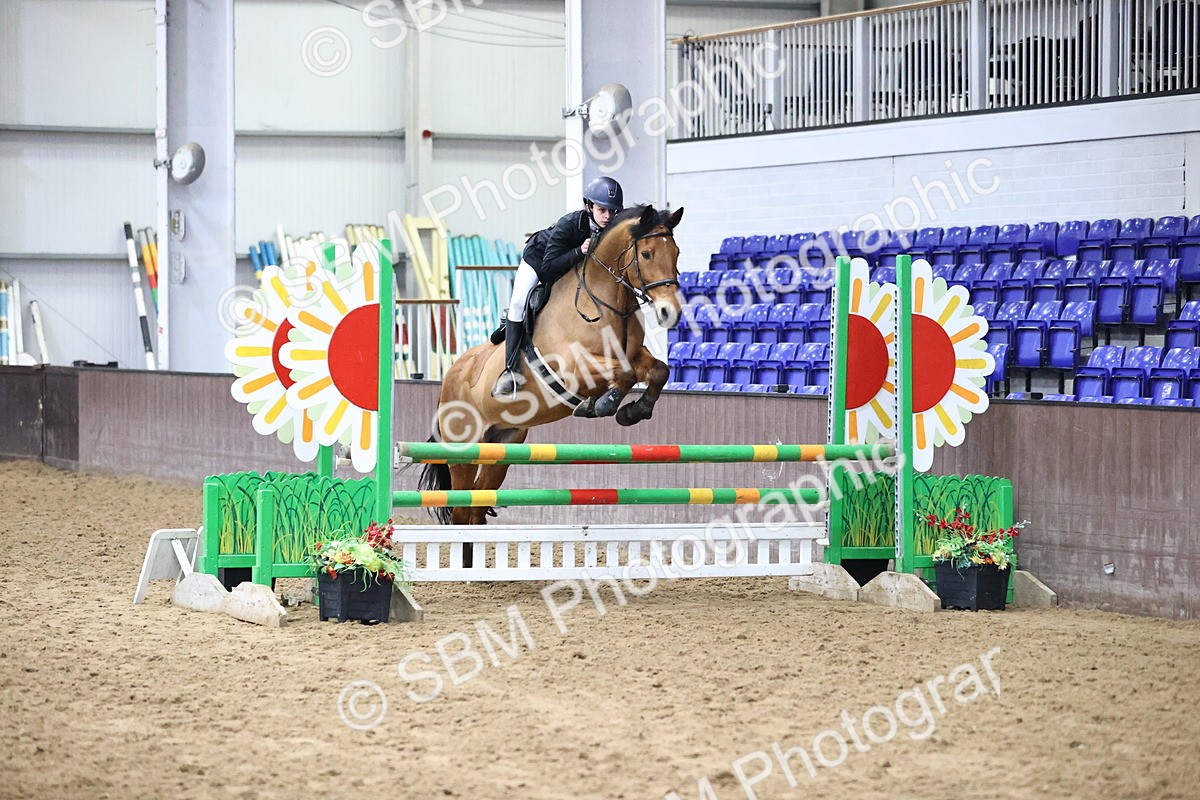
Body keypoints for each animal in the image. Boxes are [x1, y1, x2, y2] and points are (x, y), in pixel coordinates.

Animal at [419, 204, 685, 525]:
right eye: (646, 254)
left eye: (676, 252)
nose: (670, 312)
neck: (603, 300)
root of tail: (450, 377)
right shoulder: (573, 369)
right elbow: (625, 374)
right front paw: (603, 404)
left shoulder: (633, 355)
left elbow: (657, 370)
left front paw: (635, 410)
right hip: (464, 450)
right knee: (460, 510)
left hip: (502, 445)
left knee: (477, 507)